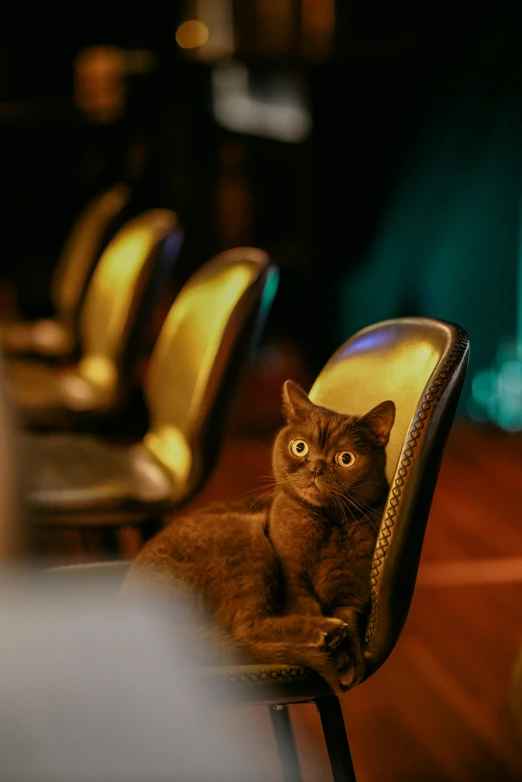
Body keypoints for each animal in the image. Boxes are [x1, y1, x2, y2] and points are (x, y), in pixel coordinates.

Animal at [122, 382, 392, 696]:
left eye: (345, 458)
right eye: (300, 447)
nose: (315, 468)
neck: (329, 524)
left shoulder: (353, 593)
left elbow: (350, 617)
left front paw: (351, 664)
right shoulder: (294, 583)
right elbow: (304, 608)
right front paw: (337, 655)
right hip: (246, 541)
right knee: (246, 627)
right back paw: (327, 632)